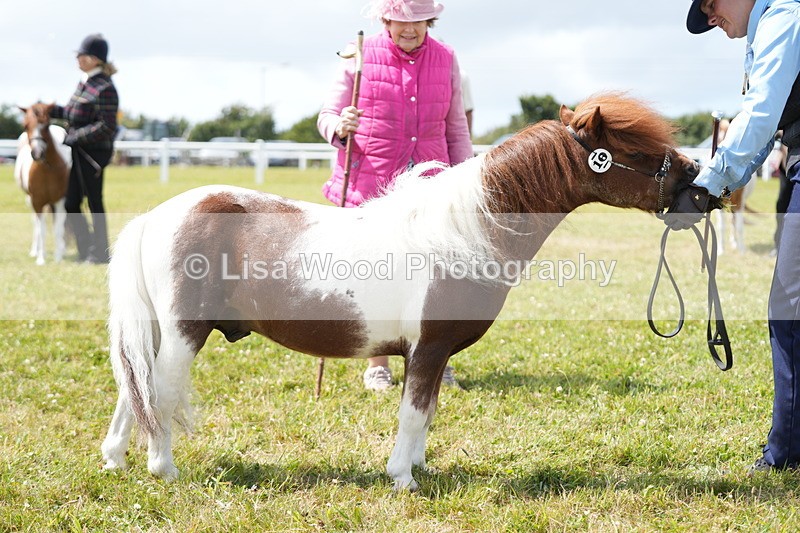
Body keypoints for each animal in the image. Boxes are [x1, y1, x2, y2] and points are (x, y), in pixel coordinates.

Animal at [14, 103, 71, 265]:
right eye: (26, 125)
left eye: (46, 126)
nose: (37, 154)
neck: (46, 171)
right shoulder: (37, 202)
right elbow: (42, 230)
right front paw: (41, 258)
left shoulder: (59, 201)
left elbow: (58, 228)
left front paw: (58, 258)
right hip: (31, 200)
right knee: (36, 224)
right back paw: (35, 251)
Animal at [100, 93, 700, 491]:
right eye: (639, 151)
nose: (699, 183)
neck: (464, 232)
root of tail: (156, 217)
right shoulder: (428, 348)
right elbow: (413, 413)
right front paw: (403, 479)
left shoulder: (430, 354)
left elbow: (427, 411)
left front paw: (418, 468)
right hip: (184, 334)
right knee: (159, 392)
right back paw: (163, 470)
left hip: (158, 332)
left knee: (135, 390)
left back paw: (114, 460)